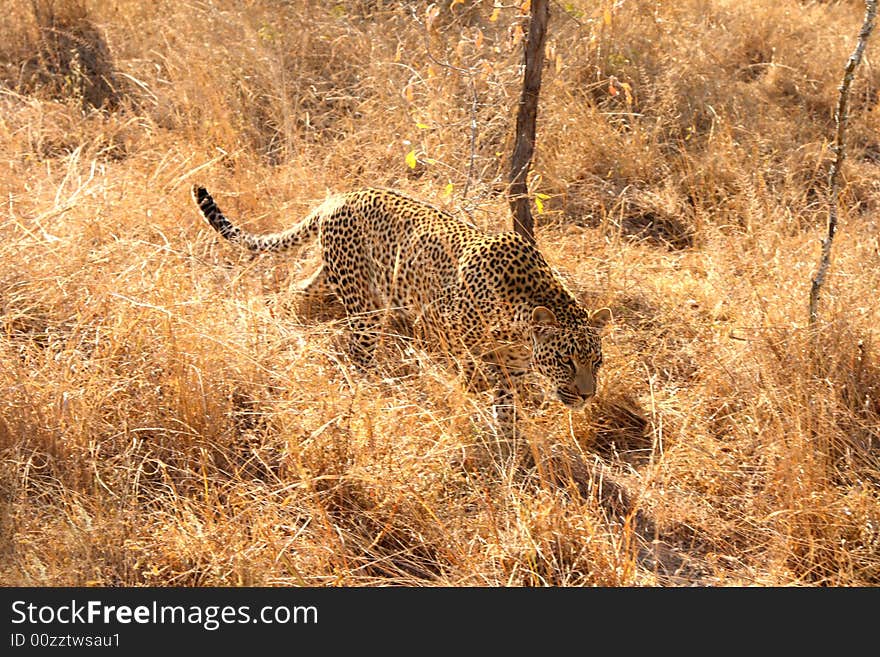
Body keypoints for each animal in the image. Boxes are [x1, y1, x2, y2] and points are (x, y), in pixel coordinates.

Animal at [190, 182, 608, 422]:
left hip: (335, 279)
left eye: (597, 362)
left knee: (293, 293)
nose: (587, 395)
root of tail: (339, 197)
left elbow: (508, 406)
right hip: (365, 308)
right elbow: (469, 378)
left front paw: (509, 444)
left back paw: (278, 320)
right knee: (357, 355)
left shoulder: (515, 366)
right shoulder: (450, 332)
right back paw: (366, 394)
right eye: (566, 361)